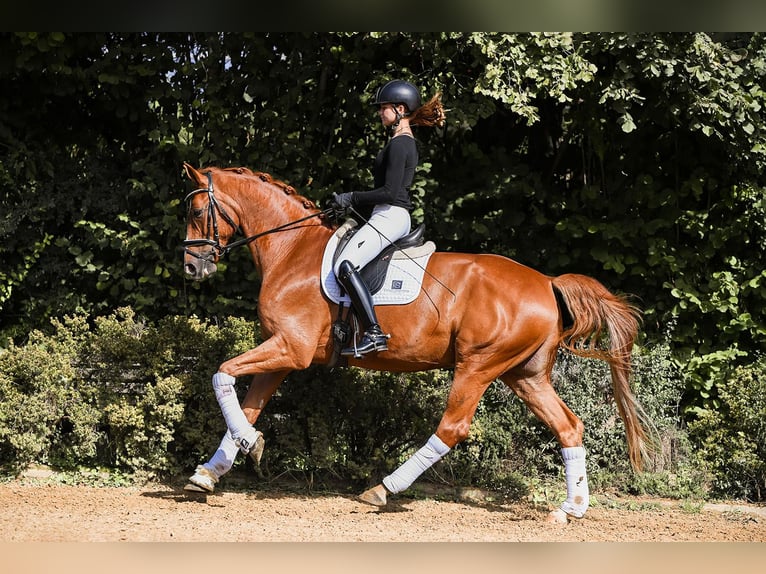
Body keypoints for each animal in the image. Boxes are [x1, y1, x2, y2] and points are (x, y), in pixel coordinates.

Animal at [181, 163, 651, 523]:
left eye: (199, 209)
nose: (191, 267)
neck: (291, 248)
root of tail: (546, 283)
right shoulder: (281, 352)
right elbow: (247, 405)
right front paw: (212, 470)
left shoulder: (290, 349)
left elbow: (221, 374)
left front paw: (245, 447)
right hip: (525, 375)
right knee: (569, 426)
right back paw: (570, 509)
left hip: (478, 366)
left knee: (452, 428)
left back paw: (384, 488)